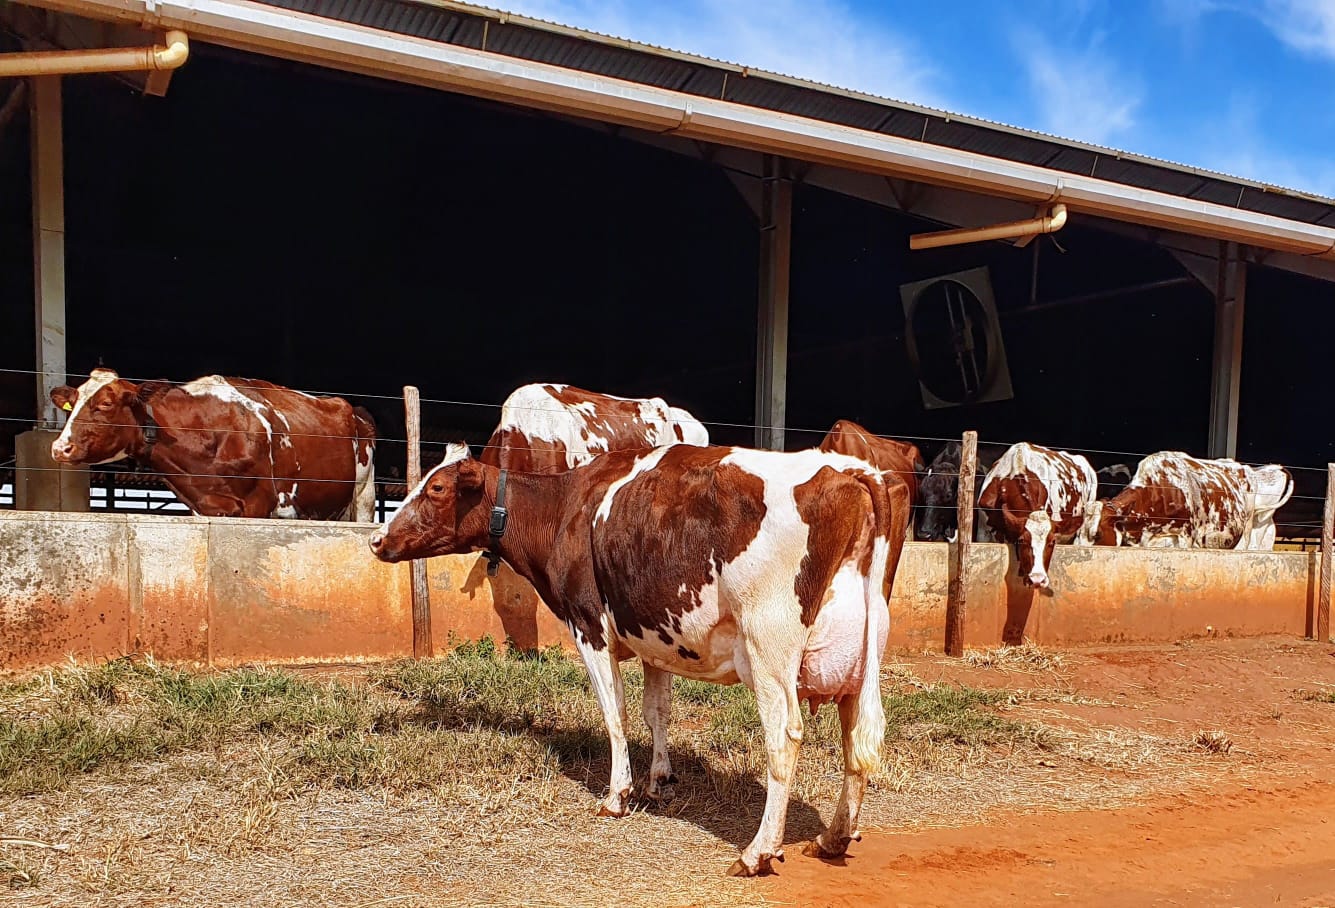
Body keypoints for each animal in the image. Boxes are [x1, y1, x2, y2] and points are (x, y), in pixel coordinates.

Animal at [50, 365, 376, 520]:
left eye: (105, 404)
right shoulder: (203, 508)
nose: (60, 448)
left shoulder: (258, 505)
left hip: (363, 497)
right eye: (73, 403)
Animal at [371, 443, 913, 875]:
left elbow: (616, 714)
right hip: (862, 652)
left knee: (784, 737)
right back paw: (835, 837)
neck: (566, 507)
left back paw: (758, 851)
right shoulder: (655, 634)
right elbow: (658, 711)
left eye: (436, 487)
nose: (377, 539)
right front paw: (659, 781)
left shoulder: (589, 625)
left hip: (768, 645)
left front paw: (618, 795)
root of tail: (848, 468)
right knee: (858, 738)